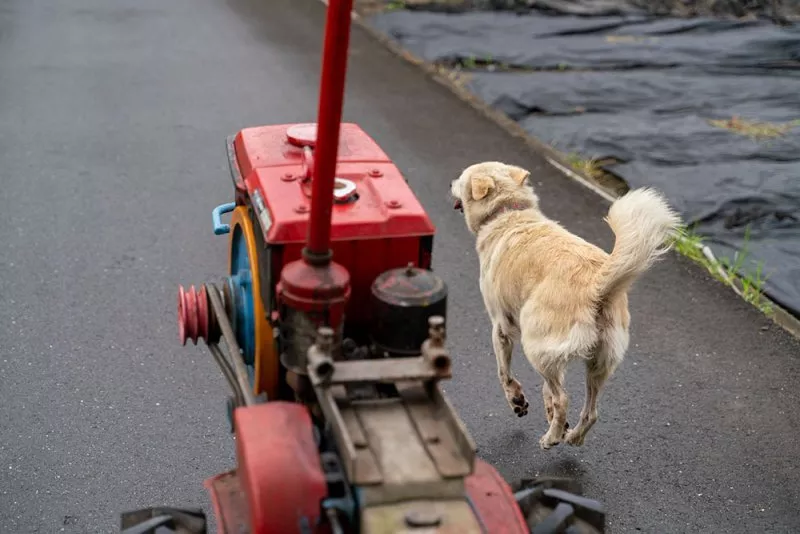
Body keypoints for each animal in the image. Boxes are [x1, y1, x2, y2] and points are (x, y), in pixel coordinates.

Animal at [450, 161, 680, 450]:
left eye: (461, 179)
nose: (450, 183)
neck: (508, 212)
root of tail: (597, 284)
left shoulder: (501, 327)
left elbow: (504, 373)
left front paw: (517, 401)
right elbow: (547, 389)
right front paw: (549, 414)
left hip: (535, 345)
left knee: (564, 398)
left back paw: (551, 438)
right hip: (598, 362)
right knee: (590, 410)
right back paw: (572, 437)